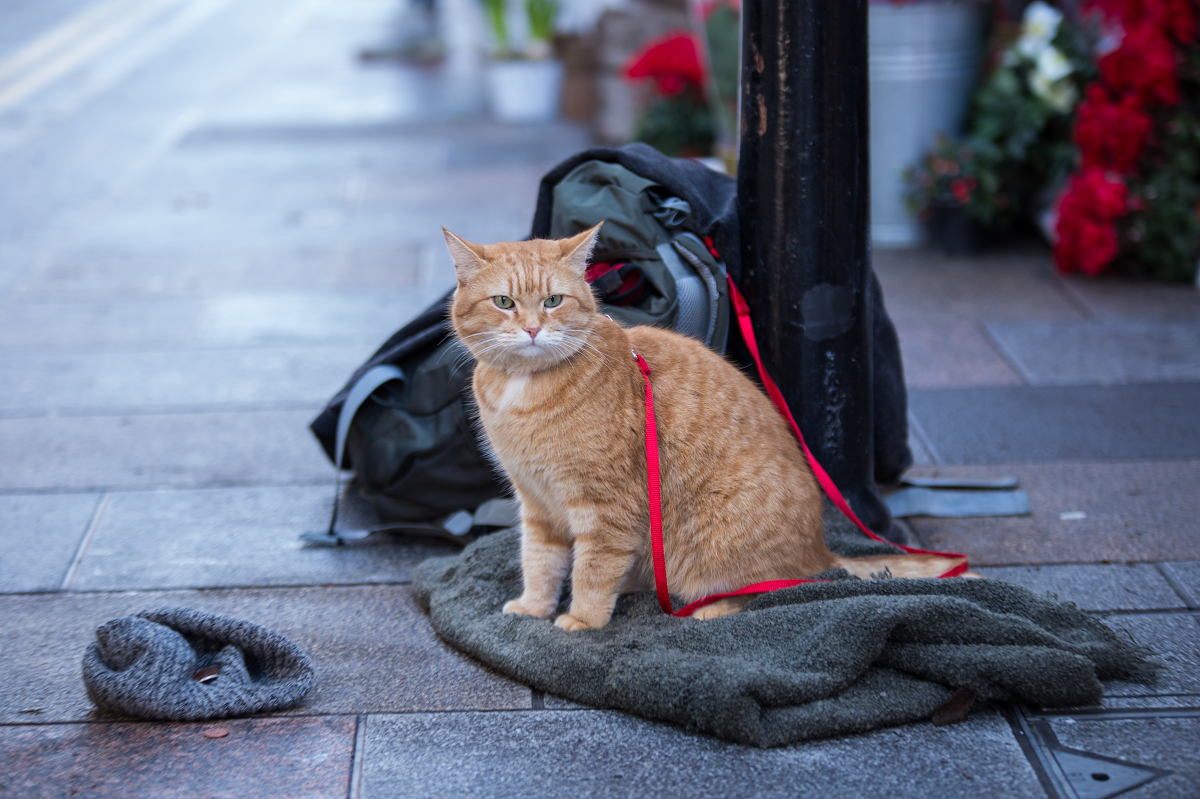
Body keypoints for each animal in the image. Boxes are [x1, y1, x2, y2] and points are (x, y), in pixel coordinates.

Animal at [441, 221, 964, 628]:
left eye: (553, 300)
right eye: (504, 302)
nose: (532, 329)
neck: (523, 390)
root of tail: (821, 552)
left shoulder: (607, 507)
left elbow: (592, 569)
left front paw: (583, 620)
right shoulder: (537, 504)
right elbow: (540, 562)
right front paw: (534, 608)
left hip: (714, 547)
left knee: (764, 591)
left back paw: (703, 609)